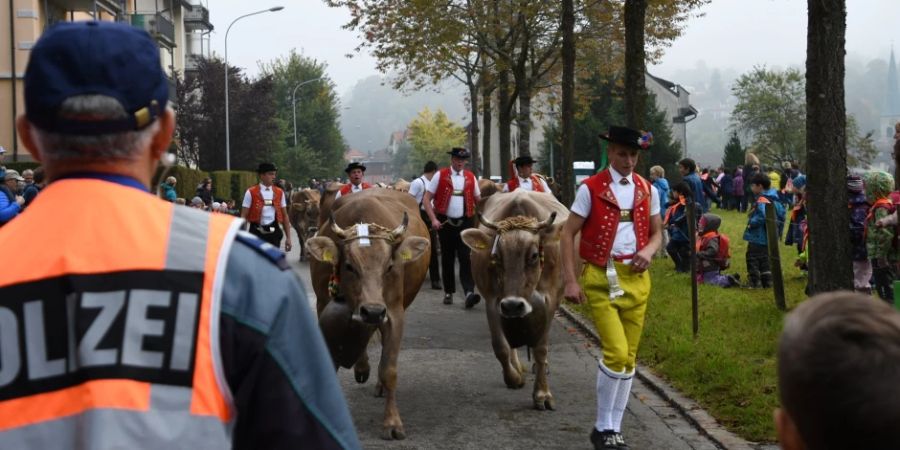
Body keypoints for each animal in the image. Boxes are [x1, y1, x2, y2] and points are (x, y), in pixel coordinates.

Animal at [304, 188, 430, 442]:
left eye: (389, 266)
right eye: (349, 266)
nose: (372, 310)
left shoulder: (393, 311)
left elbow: (389, 368)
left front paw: (392, 422)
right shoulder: (324, 304)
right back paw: (362, 367)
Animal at [460, 190, 568, 412]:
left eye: (534, 255)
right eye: (496, 256)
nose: (513, 305)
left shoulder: (550, 300)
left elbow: (540, 349)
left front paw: (542, 394)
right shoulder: (493, 300)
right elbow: (500, 346)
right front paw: (514, 378)